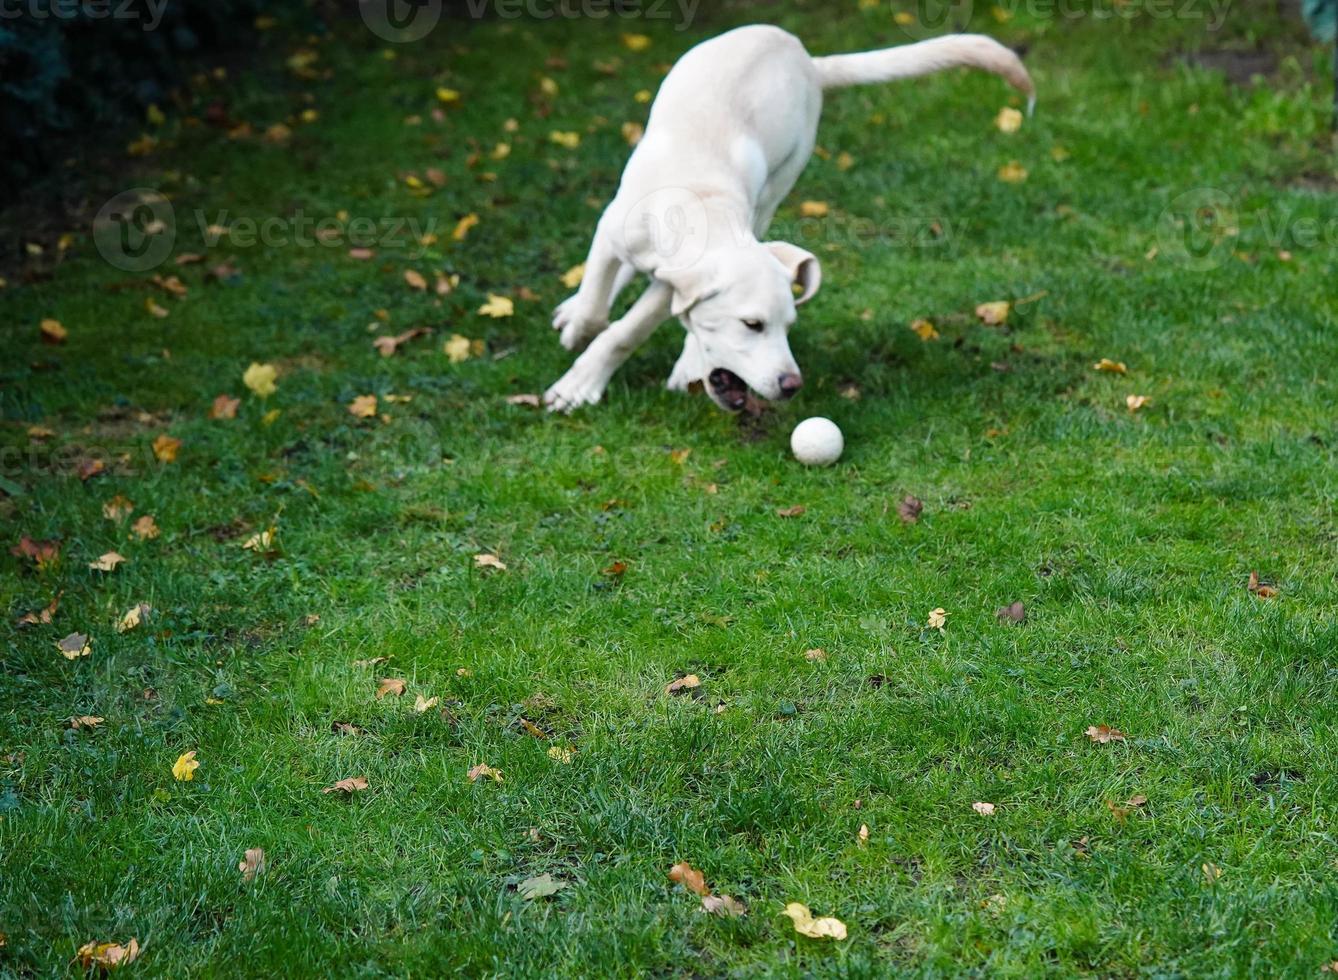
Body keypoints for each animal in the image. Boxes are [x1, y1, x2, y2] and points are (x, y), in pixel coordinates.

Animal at [543, 23, 1032, 412]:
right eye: (752, 325)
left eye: (788, 326)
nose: (792, 385)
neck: (701, 204)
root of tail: (805, 58)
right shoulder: (612, 234)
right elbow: (597, 306)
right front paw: (579, 349)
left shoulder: (669, 286)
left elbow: (630, 329)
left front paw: (588, 377)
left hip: (780, 183)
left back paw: (687, 362)